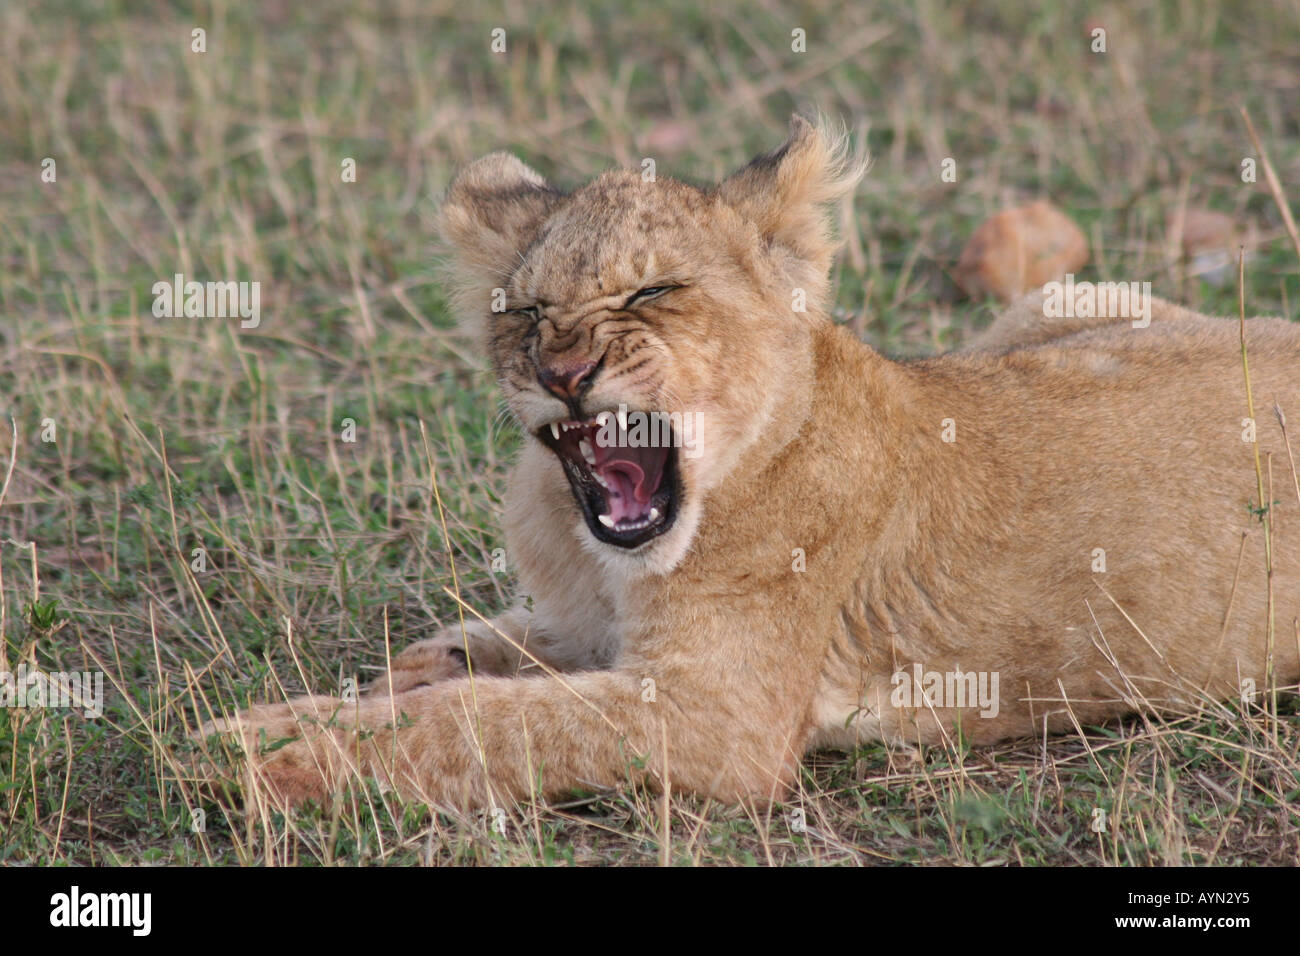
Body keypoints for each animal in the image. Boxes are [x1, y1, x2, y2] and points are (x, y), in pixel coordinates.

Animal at [204, 116, 1300, 809]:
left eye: (650, 292)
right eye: (525, 310)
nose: (563, 370)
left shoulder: (716, 718)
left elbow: (484, 722)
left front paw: (262, 752)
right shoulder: (593, 631)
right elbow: (472, 659)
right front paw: (352, 692)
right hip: (1070, 300)